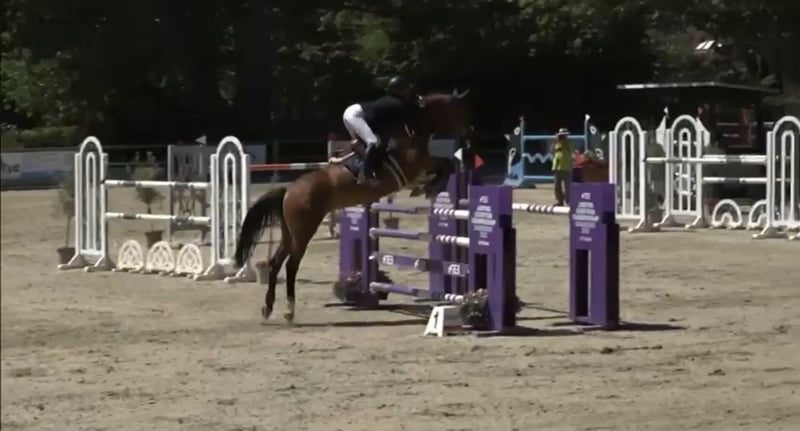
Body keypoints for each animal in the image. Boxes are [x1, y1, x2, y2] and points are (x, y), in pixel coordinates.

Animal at [234, 90, 472, 322]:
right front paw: (428, 188)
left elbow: (446, 165)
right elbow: (445, 164)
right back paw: (289, 310)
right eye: (460, 111)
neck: (413, 124)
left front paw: (427, 188)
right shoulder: (414, 167)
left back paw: (268, 308)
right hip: (304, 231)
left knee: (275, 262)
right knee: (291, 265)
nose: (470, 133)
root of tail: (289, 191)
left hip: (289, 232)